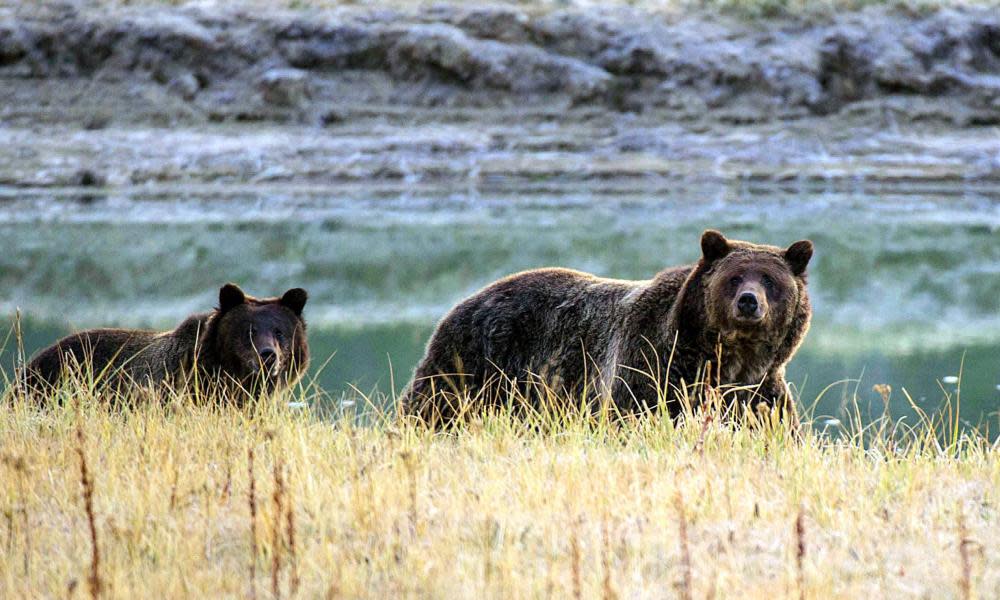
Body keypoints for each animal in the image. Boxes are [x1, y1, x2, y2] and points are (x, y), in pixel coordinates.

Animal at [400, 229, 812, 426]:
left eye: (770, 280)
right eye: (735, 277)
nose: (749, 301)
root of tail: (462, 302)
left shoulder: (758, 392)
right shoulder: (652, 369)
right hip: (473, 364)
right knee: (432, 407)